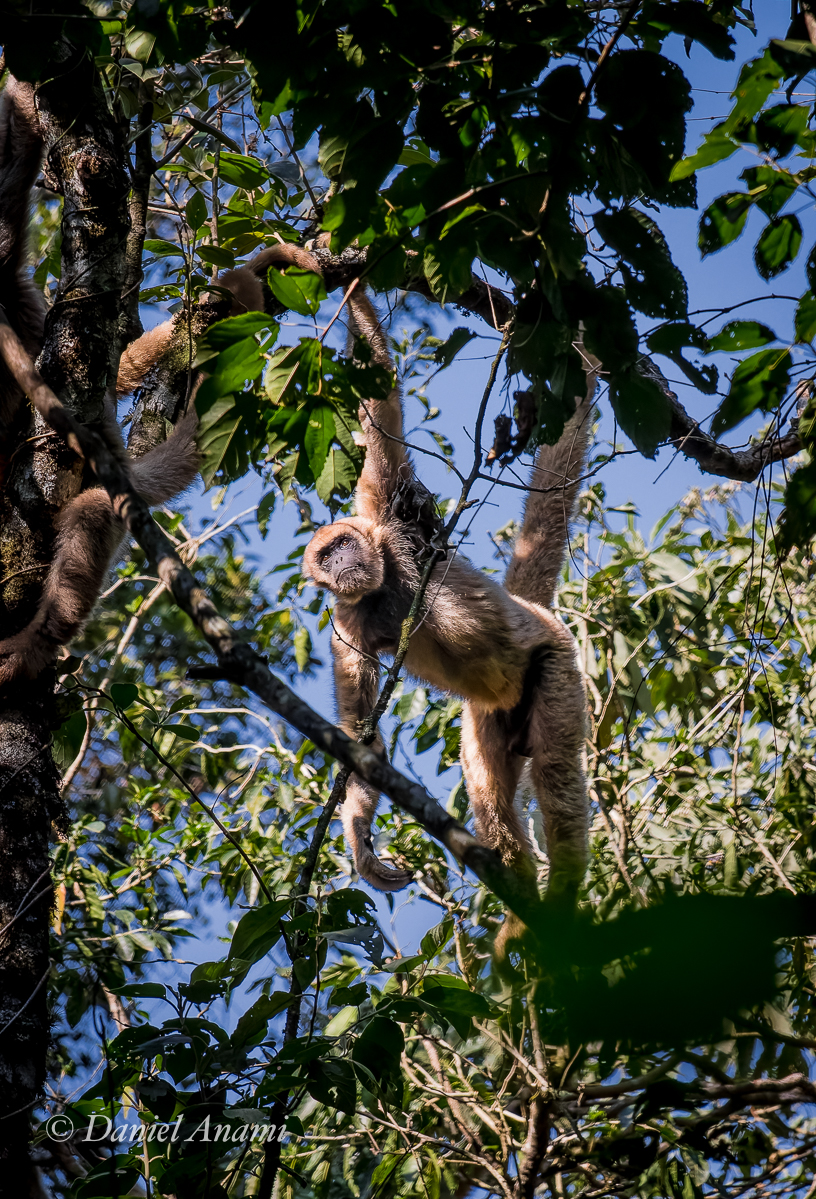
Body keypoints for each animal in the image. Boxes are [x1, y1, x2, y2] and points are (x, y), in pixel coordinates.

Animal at [301, 278, 597, 904]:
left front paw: (336, 267)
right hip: (491, 720)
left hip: (555, 663)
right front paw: (360, 841)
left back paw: (561, 889)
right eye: (326, 557)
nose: (342, 562)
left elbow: (381, 405)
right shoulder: (346, 624)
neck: (382, 587)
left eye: (343, 543)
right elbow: (363, 737)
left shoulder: (391, 522)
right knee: (491, 799)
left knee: (556, 775)